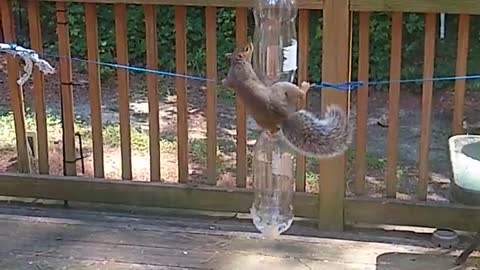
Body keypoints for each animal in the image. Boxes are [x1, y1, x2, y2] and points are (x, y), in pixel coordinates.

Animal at [221, 41, 352, 157]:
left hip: (262, 121)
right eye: (246, 49)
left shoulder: (231, 78)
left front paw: (222, 81)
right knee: (300, 94)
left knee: (273, 129)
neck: (237, 64)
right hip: (281, 87)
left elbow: (227, 83)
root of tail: (285, 115)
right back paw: (305, 87)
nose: (249, 42)